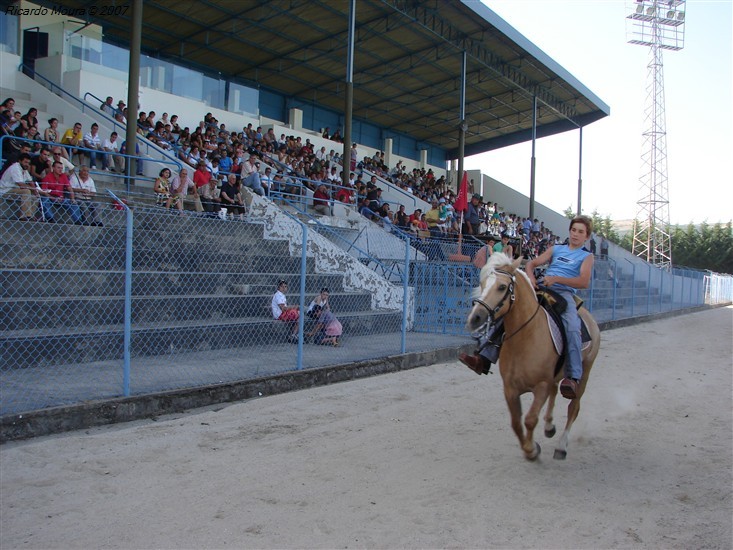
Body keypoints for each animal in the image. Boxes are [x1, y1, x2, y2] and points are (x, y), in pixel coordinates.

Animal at [464, 254, 600, 462]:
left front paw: (532, 450)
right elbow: (516, 422)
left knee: (573, 408)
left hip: (584, 373)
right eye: (483, 283)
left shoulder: (541, 386)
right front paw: (530, 447)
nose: (475, 318)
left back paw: (561, 446)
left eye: (502, 287)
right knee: (555, 392)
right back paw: (549, 426)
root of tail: (590, 319)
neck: (526, 337)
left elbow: (529, 419)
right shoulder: (510, 388)